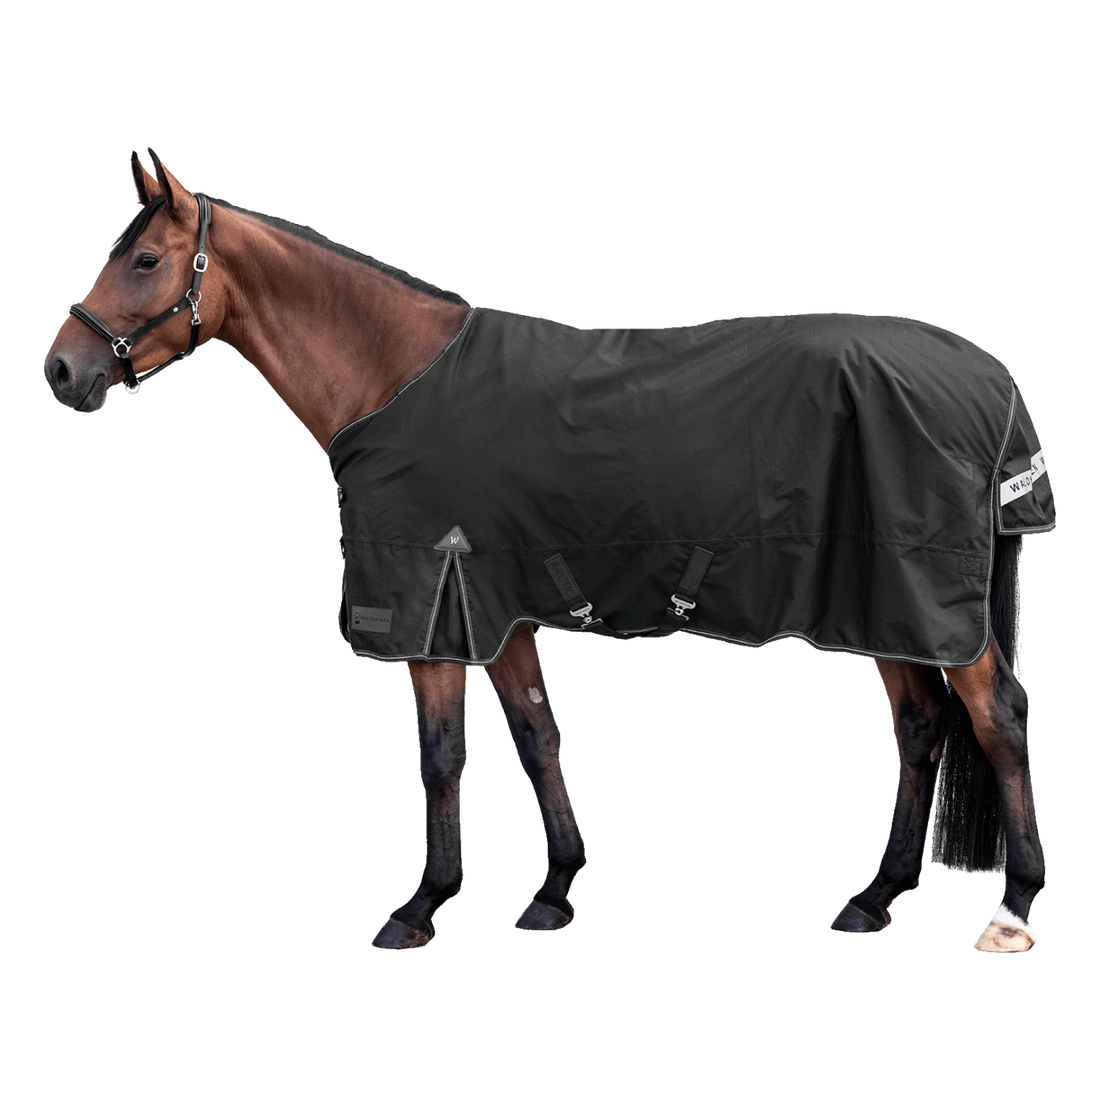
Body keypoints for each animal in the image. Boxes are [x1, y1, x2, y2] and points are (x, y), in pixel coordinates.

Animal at [42, 147, 1055, 954]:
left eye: (143, 258)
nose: (60, 370)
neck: (394, 376)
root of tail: (991, 380)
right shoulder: (499, 606)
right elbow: (536, 736)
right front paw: (556, 890)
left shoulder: (433, 608)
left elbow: (441, 756)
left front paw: (420, 907)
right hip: (889, 601)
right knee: (920, 729)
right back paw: (875, 896)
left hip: (926, 600)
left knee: (997, 719)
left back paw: (1011, 910)